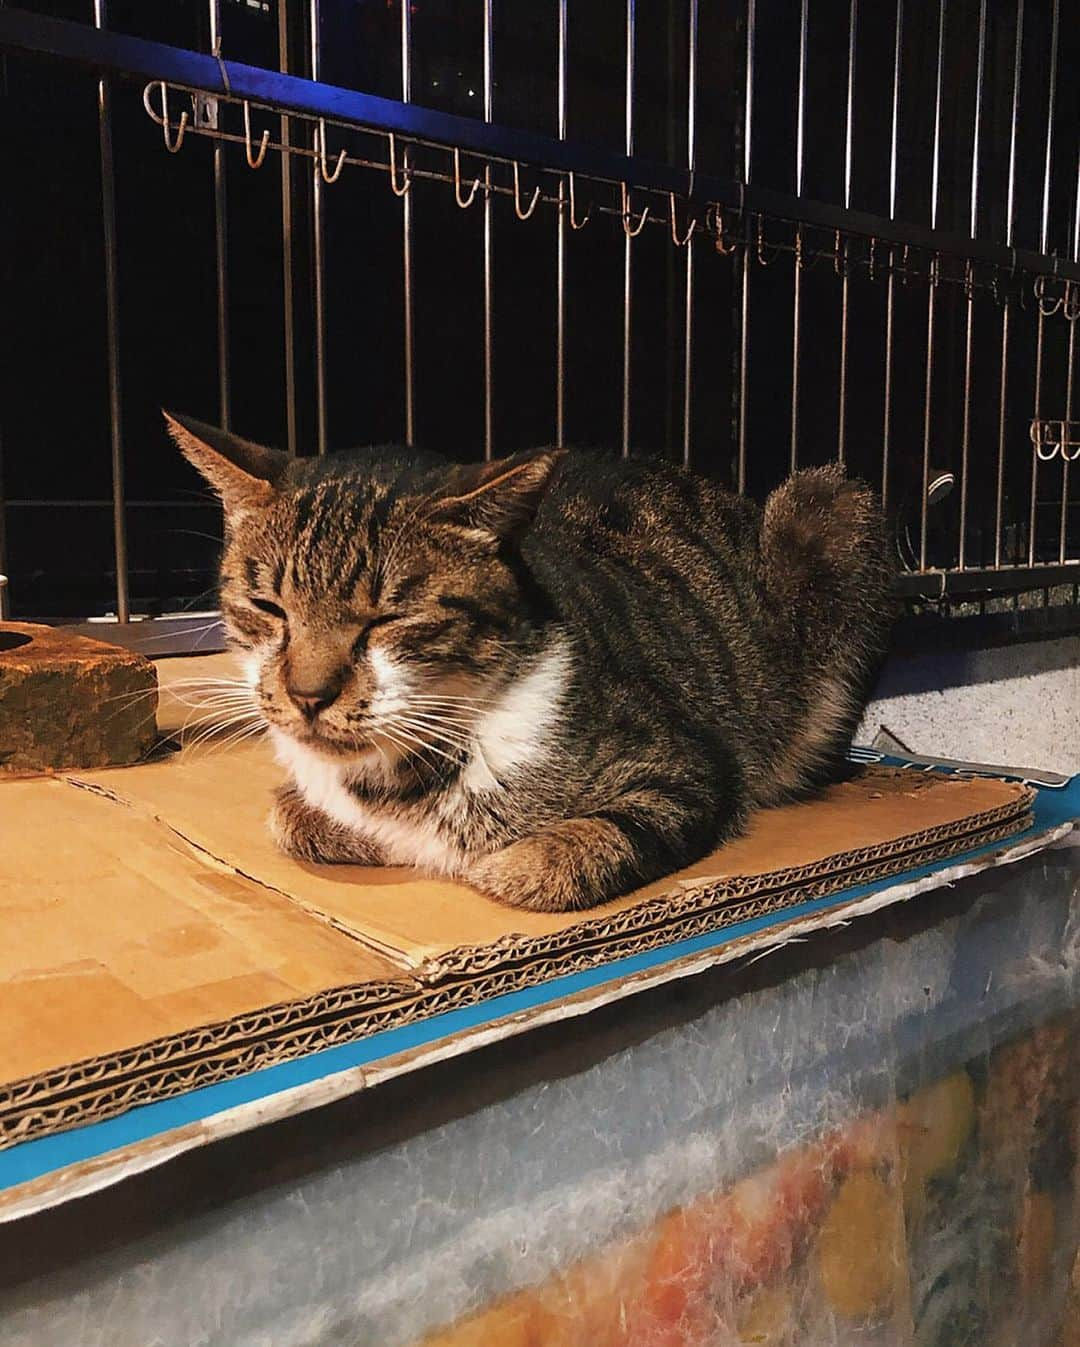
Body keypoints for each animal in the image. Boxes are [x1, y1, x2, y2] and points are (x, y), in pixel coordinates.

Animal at [166, 412, 894, 915]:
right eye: (268, 605)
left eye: (388, 618)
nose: (308, 694)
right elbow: (287, 817)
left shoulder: (687, 769)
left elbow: (550, 859)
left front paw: (499, 858)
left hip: (829, 502)